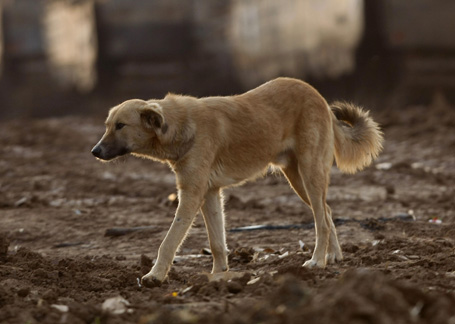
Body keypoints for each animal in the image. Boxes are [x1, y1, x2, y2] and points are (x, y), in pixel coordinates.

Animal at [92, 77, 384, 288]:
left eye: (120, 125)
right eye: (107, 125)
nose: (94, 151)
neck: (180, 126)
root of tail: (318, 96)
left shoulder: (192, 194)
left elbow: (169, 241)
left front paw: (155, 276)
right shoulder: (210, 193)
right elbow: (216, 242)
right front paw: (218, 274)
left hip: (309, 172)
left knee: (320, 220)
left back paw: (317, 261)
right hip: (297, 177)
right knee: (327, 210)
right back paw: (333, 255)